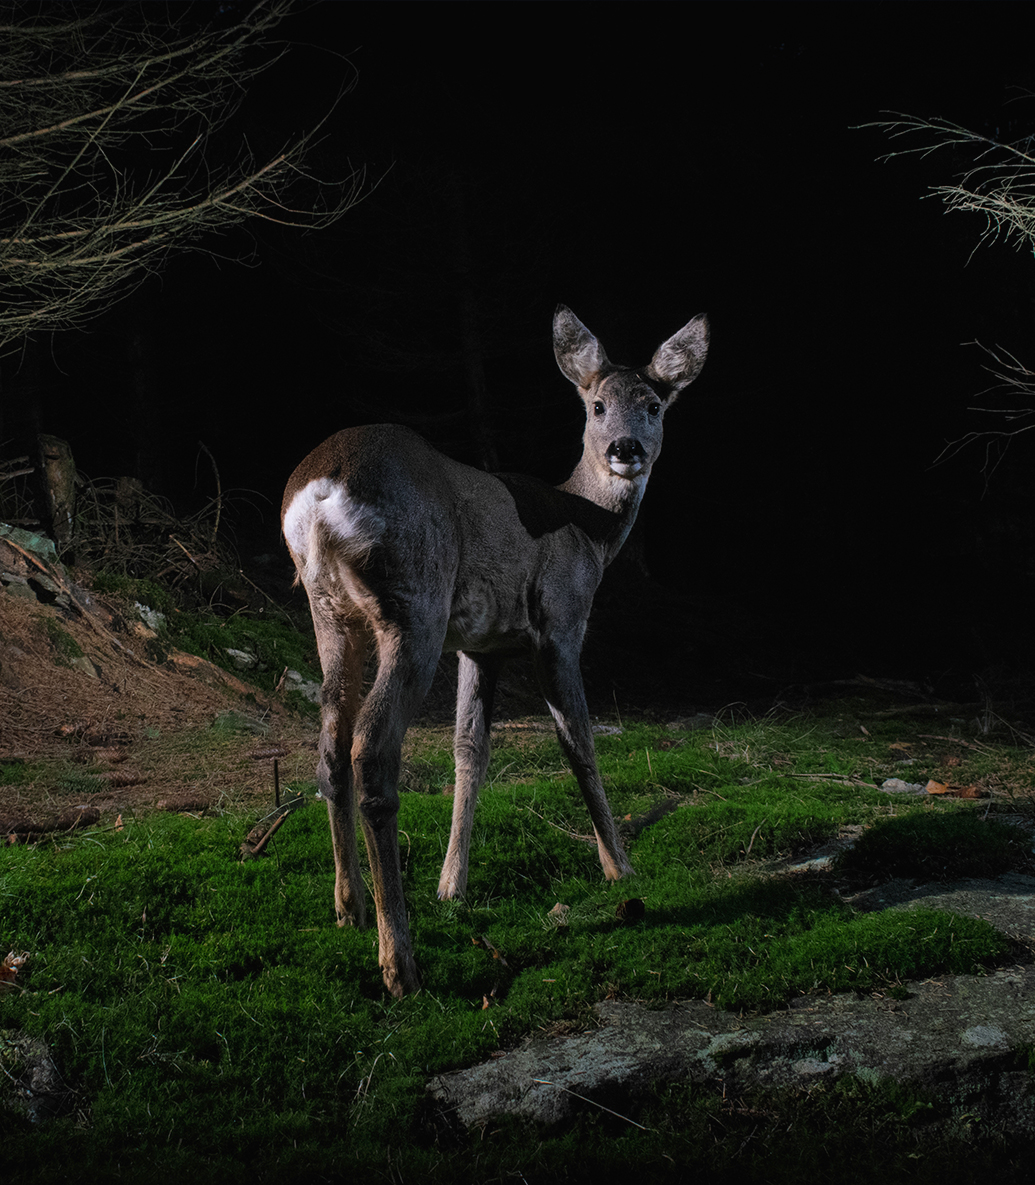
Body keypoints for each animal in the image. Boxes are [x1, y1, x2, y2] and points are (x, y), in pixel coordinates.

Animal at [278, 303, 706, 990]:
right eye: (596, 405)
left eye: (654, 405)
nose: (627, 450)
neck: (591, 532)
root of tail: (319, 492)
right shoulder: (561, 620)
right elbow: (579, 742)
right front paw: (620, 868)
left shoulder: (479, 645)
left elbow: (470, 751)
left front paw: (452, 885)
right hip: (415, 601)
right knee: (372, 745)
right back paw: (398, 960)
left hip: (329, 612)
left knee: (329, 741)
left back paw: (349, 907)